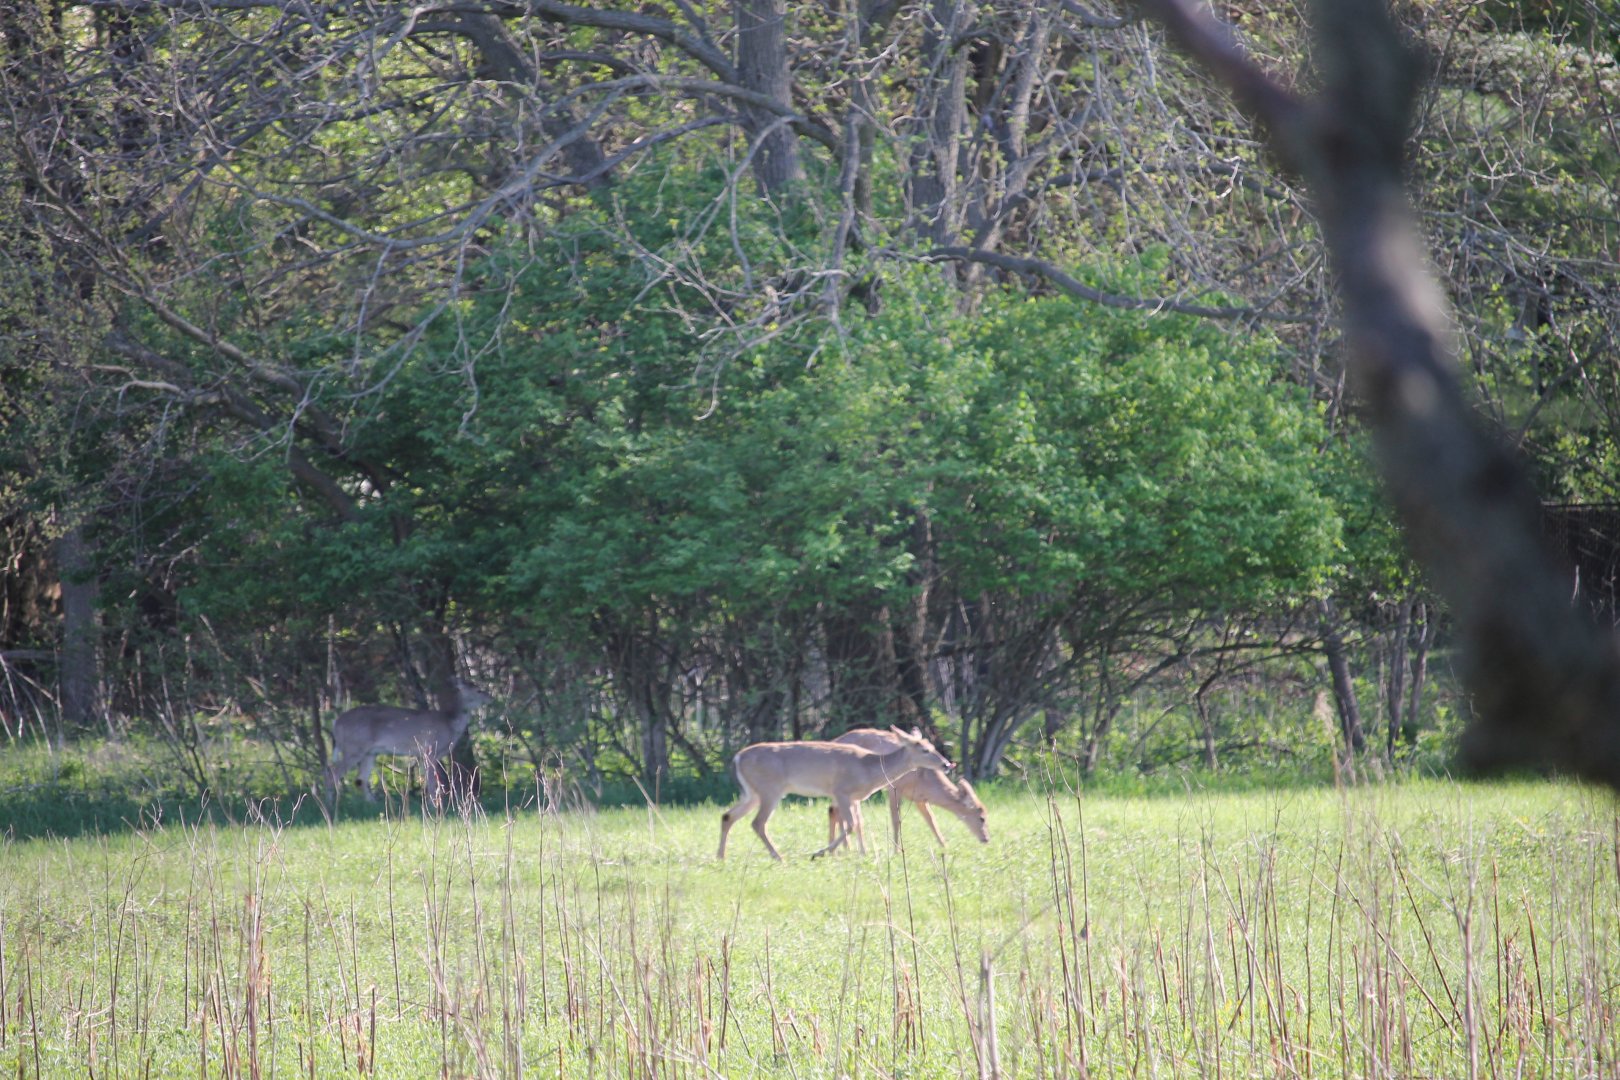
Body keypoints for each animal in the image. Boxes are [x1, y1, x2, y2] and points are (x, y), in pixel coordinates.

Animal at [325, 679, 493, 805]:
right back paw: (331, 804)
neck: (449, 723)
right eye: (478, 690)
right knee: (333, 772)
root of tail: (335, 723)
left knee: (360, 779)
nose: (490, 697)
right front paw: (434, 805)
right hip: (354, 747)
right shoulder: (430, 749)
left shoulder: (422, 755)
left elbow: (427, 780)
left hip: (369, 752)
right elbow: (432, 781)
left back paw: (374, 804)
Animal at [717, 725, 953, 860]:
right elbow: (850, 824)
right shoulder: (841, 790)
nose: (947, 764)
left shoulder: (854, 797)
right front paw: (822, 852)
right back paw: (778, 856)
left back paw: (721, 856)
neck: (869, 770)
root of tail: (737, 758)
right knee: (758, 822)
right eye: (925, 750)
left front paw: (857, 852)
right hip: (770, 789)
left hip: (752, 792)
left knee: (728, 815)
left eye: (932, 746)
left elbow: (856, 824)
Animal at [831, 728, 989, 850]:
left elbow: (932, 820)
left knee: (834, 811)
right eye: (981, 817)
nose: (986, 839)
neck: (926, 779)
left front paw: (944, 847)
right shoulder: (894, 788)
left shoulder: (920, 798)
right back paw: (845, 848)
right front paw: (896, 850)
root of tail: (836, 740)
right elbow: (896, 820)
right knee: (839, 813)